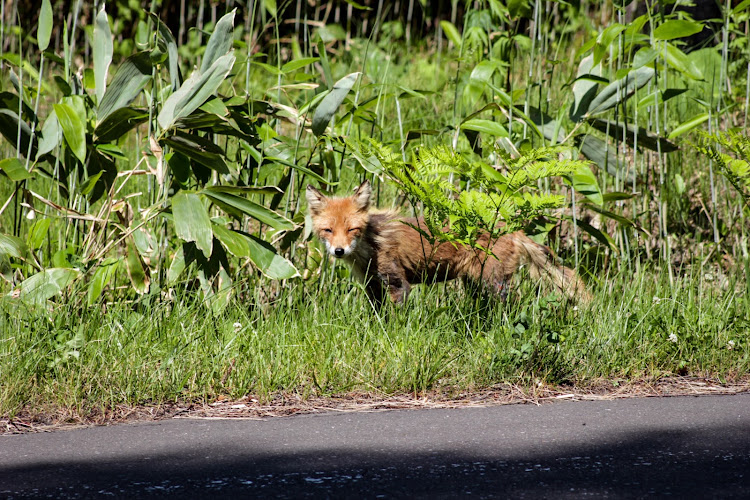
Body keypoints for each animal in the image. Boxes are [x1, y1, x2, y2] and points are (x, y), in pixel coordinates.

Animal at [306, 180, 592, 304]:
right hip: (475, 282)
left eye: (352, 229)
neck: (371, 245)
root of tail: (512, 229)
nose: (339, 250)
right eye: (328, 230)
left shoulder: (398, 283)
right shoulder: (372, 285)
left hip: (493, 281)